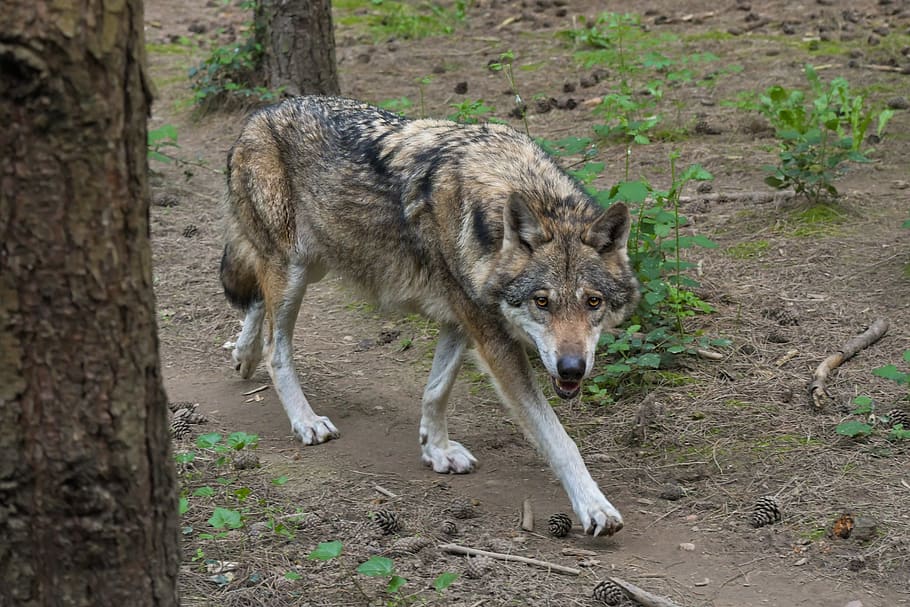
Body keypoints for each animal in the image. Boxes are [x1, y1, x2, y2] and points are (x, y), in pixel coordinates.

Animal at [220, 96, 640, 536]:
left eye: (593, 302)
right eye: (542, 302)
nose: (572, 368)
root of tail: (260, 114)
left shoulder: (460, 319)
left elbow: (436, 391)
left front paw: (436, 451)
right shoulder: (492, 338)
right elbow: (559, 438)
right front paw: (594, 506)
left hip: (316, 261)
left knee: (255, 301)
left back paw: (244, 354)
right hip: (295, 271)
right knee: (276, 347)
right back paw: (304, 420)